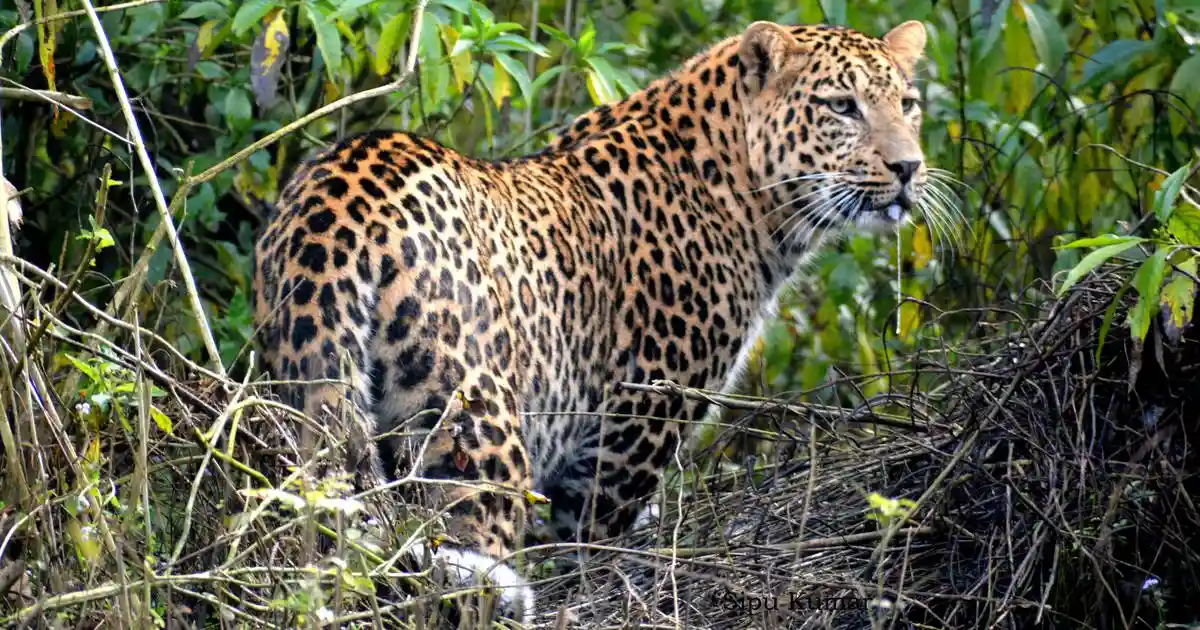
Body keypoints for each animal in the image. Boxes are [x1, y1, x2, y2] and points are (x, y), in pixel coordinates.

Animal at [252, 19, 930, 625]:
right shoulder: (634, 427)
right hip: (474, 426)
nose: (909, 168)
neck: (747, 193)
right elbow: (589, 549)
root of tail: (336, 206)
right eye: (842, 106)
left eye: (908, 104)